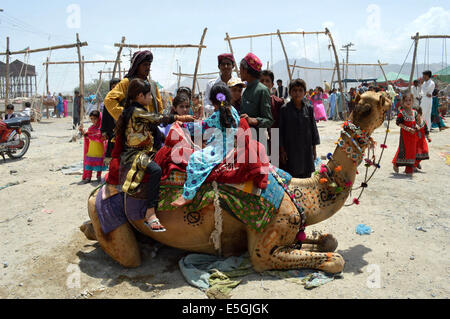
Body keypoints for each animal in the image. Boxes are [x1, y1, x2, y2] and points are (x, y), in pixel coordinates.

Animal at [82, 91, 392, 274]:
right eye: (374, 101)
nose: (389, 92)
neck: (302, 194)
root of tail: (97, 192)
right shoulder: (263, 249)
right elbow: (335, 259)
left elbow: (330, 240)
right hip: (107, 216)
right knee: (127, 255)